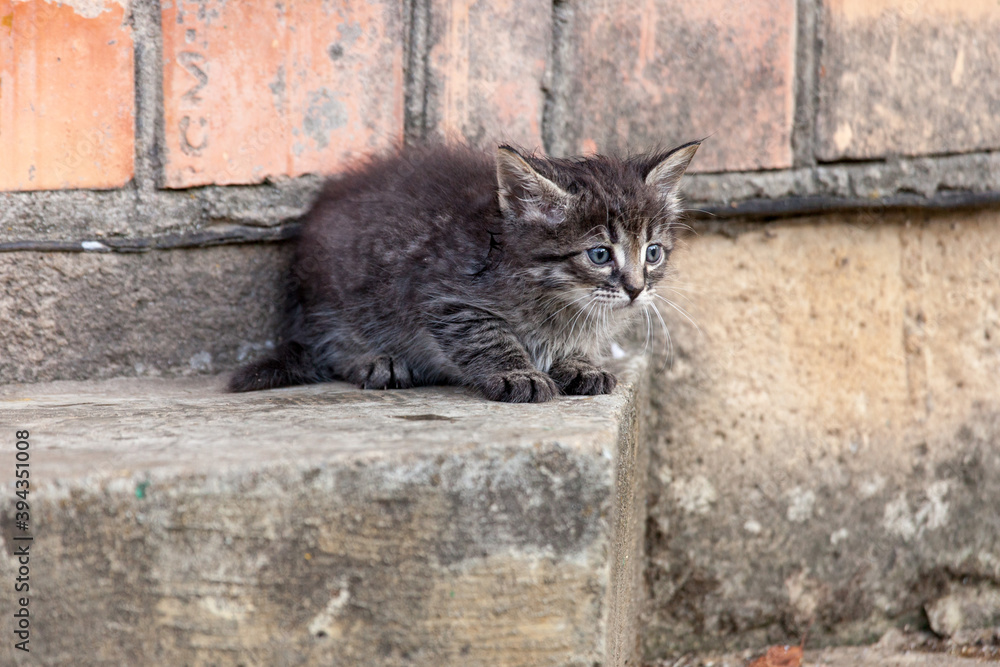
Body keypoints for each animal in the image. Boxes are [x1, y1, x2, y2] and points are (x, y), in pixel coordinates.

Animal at [229, 141, 696, 402]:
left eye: (653, 252)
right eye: (599, 254)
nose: (636, 289)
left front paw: (579, 363)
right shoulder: (446, 297)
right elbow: (488, 337)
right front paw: (517, 373)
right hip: (333, 293)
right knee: (329, 343)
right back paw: (376, 360)